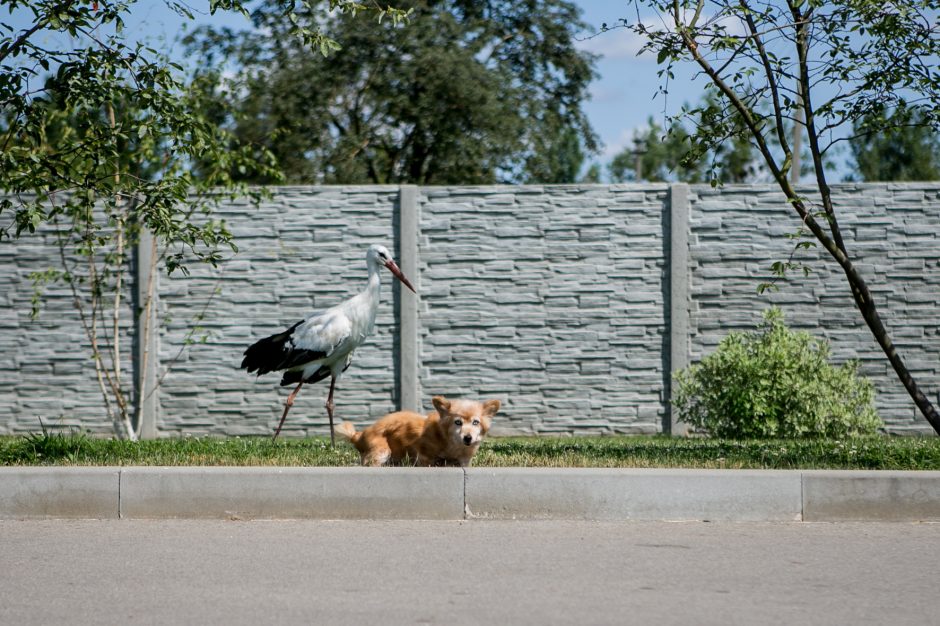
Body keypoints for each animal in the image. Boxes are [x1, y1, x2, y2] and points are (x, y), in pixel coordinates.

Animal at [336, 394, 500, 464]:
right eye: (458, 422)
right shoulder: (424, 456)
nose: (468, 437)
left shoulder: (463, 461)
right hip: (381, 451)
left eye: (475, 422)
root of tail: (359, 435)